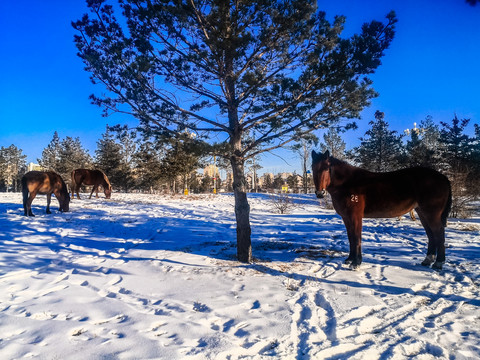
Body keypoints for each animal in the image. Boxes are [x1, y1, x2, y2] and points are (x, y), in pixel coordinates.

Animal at [314, 149, 452, 270]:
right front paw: (350, 259)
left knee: (439, 235)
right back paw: (427, 260)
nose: (320, 193)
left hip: (432, 214)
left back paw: (438, 263)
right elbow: (351, 238)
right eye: (313, 168)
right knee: (431, 235)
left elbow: (357, 238)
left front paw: (356, 263)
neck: (348, 183)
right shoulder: (346, 217)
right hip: (423, 213)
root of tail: (444, 178)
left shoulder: (355, 216)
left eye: (326, 168)